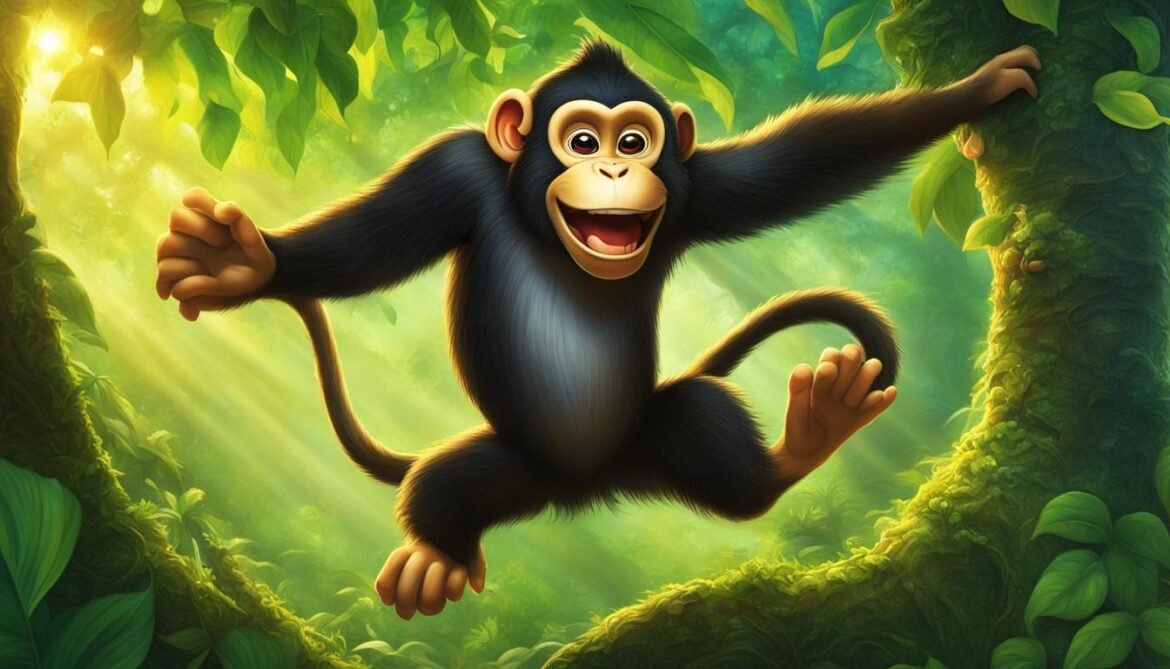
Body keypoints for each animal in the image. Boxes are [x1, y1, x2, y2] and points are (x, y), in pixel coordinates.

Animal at [155, 41, 1040, 619]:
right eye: (582, 140)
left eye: (636, 140)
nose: (615, 168)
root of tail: (588, 484)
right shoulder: (453, 168)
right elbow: (373, 241)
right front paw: (242, 262)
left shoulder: (694, 185)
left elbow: (795, 166)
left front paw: (975, 89)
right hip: (513, 462)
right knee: (441, 485)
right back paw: (437, 554)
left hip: (654, 432)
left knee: (719, 447)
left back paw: (812, 430)